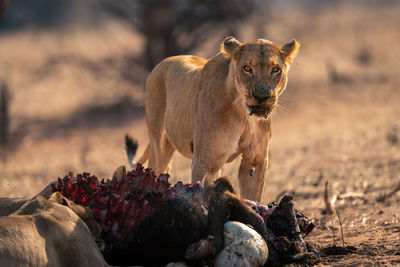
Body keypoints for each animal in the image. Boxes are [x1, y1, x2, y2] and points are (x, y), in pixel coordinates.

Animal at [136, 36, 298, 202]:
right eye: (247, 68)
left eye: (275, 69)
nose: (261, 96)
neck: (244, 116)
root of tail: (160, 64)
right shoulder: (204, 162)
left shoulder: (255, 160)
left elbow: (252, 196)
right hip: (159, 146)